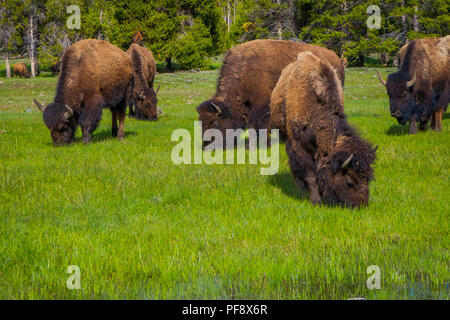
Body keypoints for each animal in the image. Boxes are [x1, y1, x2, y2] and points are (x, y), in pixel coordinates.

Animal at [197, 38, 344, 146]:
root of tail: (336, 57)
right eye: (200, 122)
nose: (205, 145)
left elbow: (259, 124)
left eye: (215, 124)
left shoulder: (262, 107)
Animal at [272, 52, 378, 208]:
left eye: (368, 178)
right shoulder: (298, 146)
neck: (317, 111)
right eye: (349, 182)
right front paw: (316, 201)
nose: (361, 205)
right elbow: (310, 175)